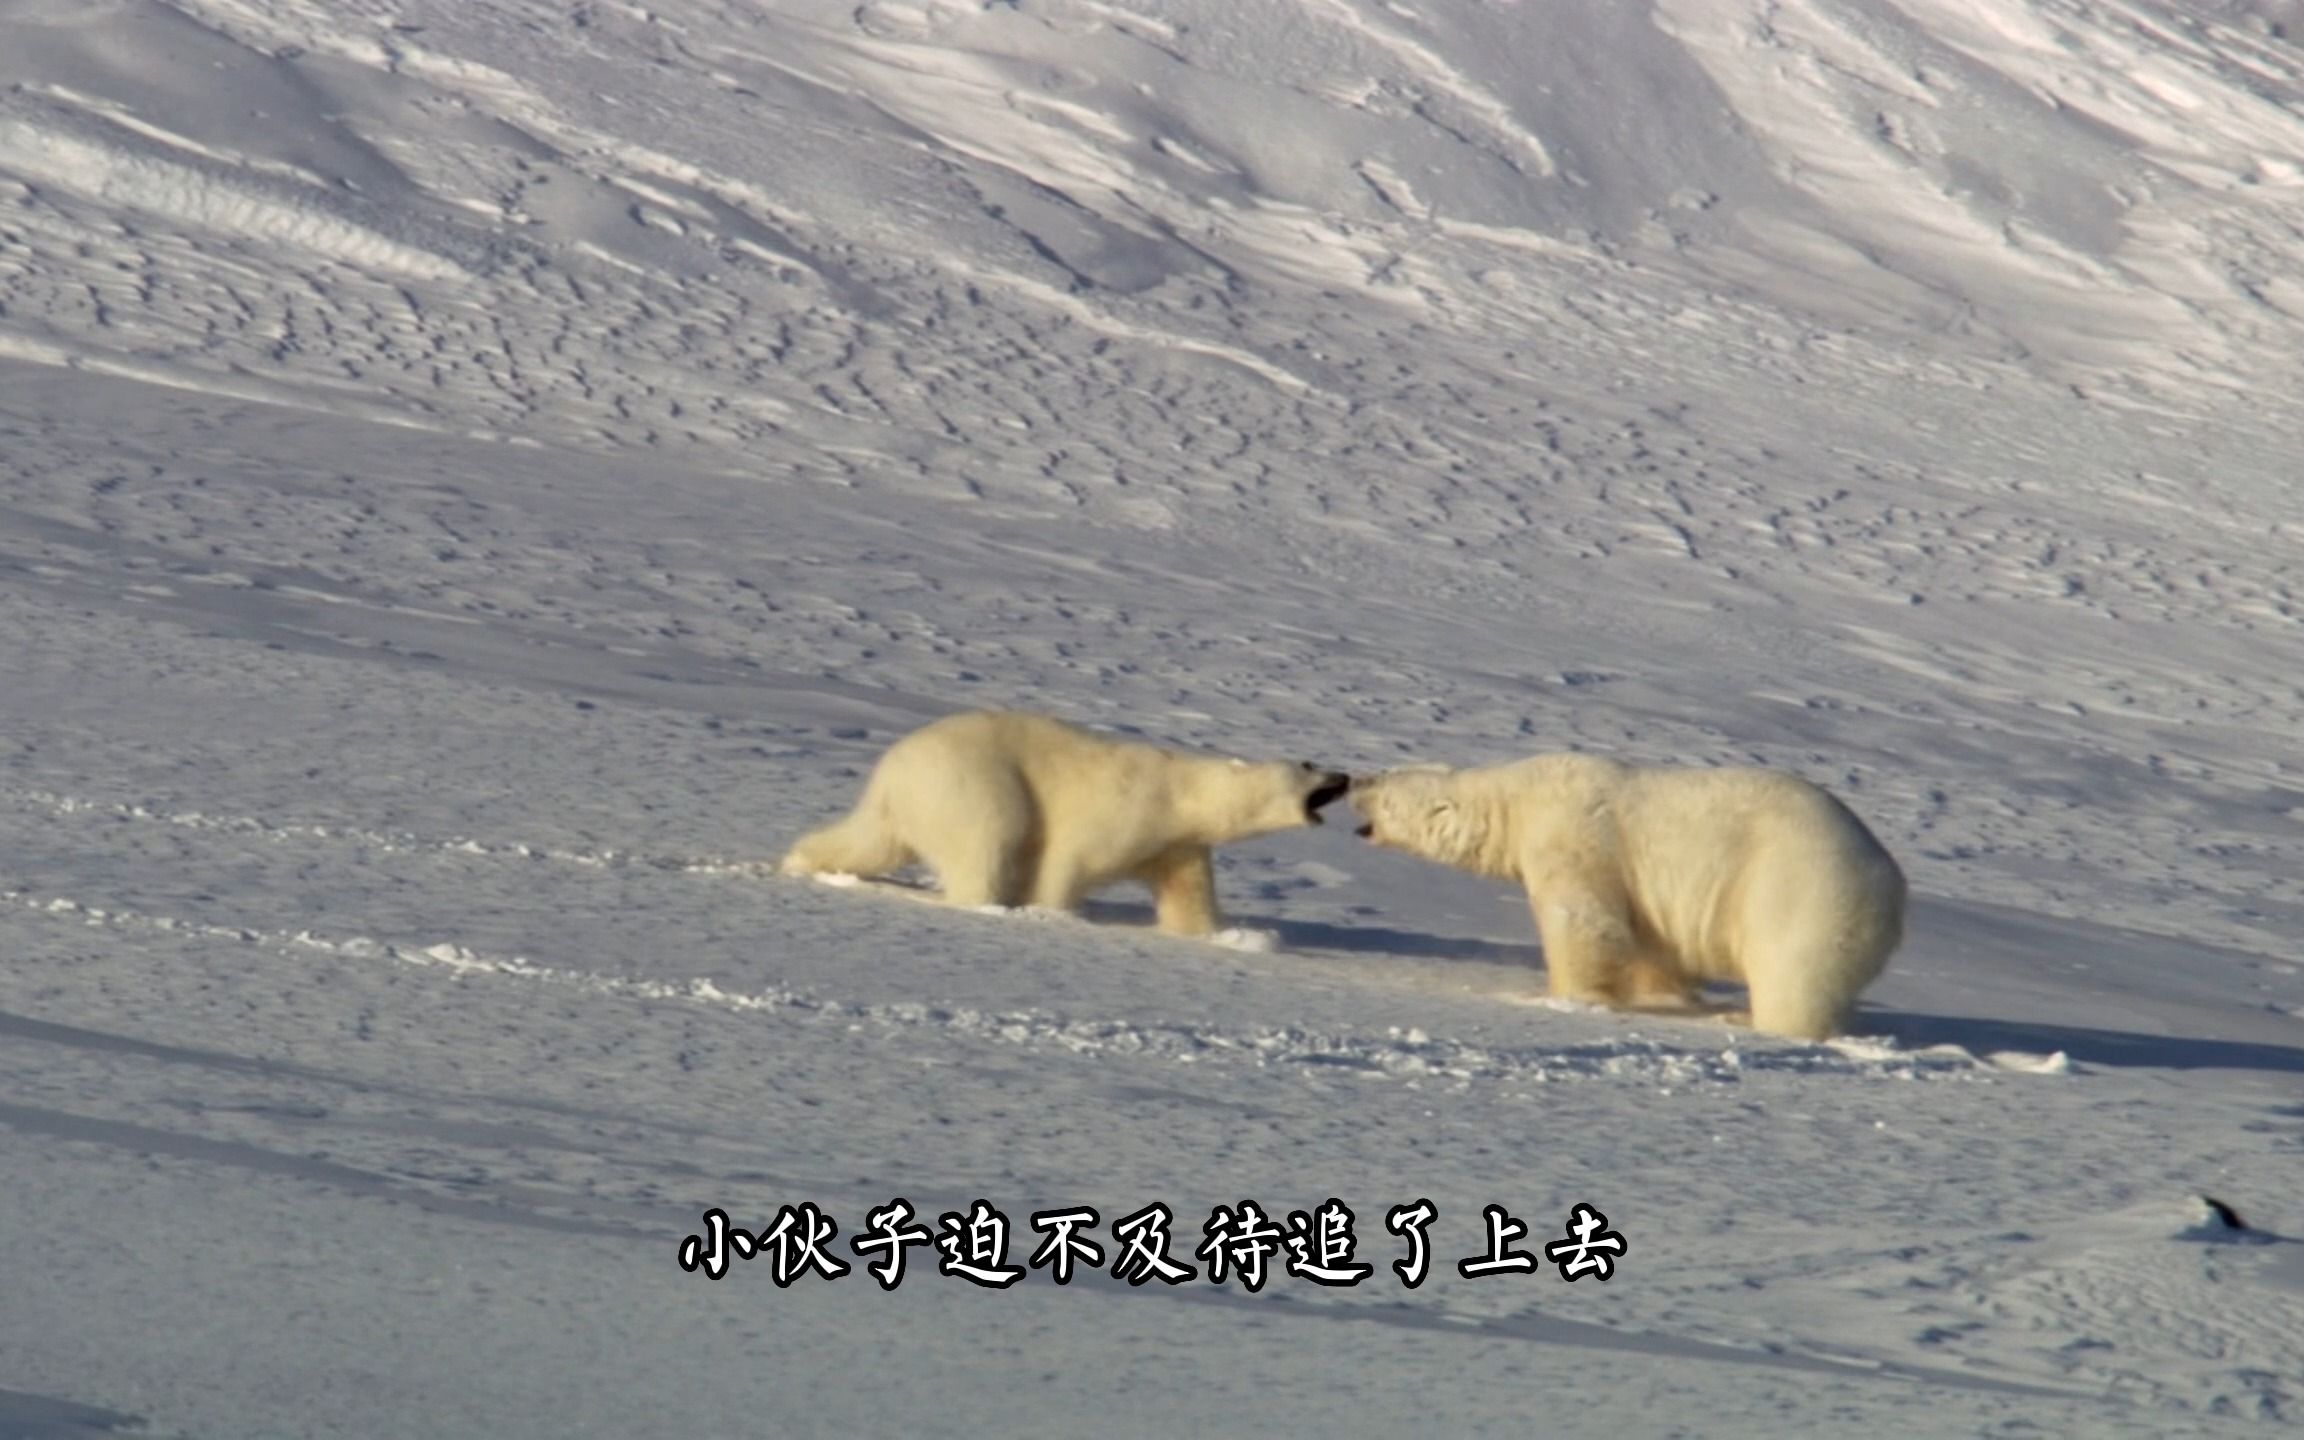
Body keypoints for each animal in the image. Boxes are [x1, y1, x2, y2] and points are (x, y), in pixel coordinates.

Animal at [778, 709, 1345, 930]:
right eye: (1308, 765)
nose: (1343, 775)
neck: (1179, 791)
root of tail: (892, 770)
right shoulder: (1127, 807)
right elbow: (1066, 860)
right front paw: (1052, 914)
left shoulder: (1176, 844)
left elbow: (1187, 895)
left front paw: (1219, 935)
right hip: (971, 782)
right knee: (990, 838)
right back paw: (983, 903)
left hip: (909, 804)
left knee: (869, 839)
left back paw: (800, 860)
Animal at [1345, 751, 1907, 1032]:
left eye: (1383, 783)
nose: (1350, 780)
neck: (1515, 799)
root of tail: (1895, 886)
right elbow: (1651, 940)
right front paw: (1662, 992)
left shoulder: (1572, 833)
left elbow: (1581, 916)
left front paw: (1573, 998)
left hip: (1800, 889)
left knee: (1792, 975)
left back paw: (1753, 1019)